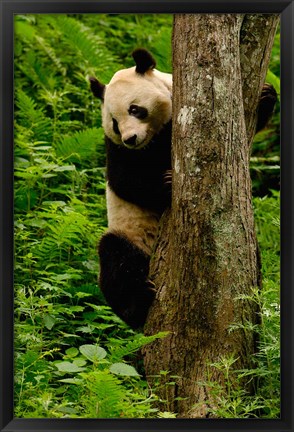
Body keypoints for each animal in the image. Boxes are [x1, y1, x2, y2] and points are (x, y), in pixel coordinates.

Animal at [88, 49, 276, 330]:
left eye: (135, 109)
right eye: (115, 123)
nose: (130, 139)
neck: (154, 136)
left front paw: (266, 95)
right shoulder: (117, 149)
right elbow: (124, 179)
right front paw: (166, 186)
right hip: (131, 233)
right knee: (115, 258)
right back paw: (138, 305)